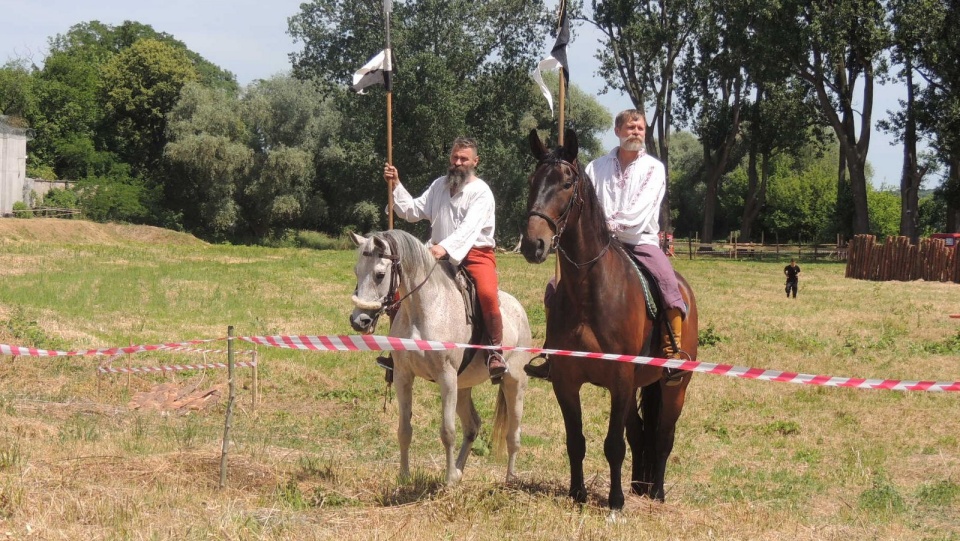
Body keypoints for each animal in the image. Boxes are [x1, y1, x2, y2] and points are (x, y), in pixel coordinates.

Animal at [346, 229, 528, 486]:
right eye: (356, 270)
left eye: (380, 274)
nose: (359, 320)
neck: (425, 309)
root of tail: (519, 308)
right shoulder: (403, 377)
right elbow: (404, 429)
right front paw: (405, 476)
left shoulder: (446, 378)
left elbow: (448, 432)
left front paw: (448, 479)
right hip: (463, 386)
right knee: (472, 426)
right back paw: (460, 470)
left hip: (514, 382)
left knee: (513, 433)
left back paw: (509, 478)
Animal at [524, 129, 696, 508]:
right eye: (533, 181)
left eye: (567, 183)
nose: (533, 244)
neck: (589, 290)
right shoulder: (566, 381)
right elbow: (577, 441)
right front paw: (578, 494)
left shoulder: (619, 378)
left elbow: (614, 445)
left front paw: (615, 501)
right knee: (640, 434)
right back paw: (639, 486)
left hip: (674, 387)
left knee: (663, 436)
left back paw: (656, 491)